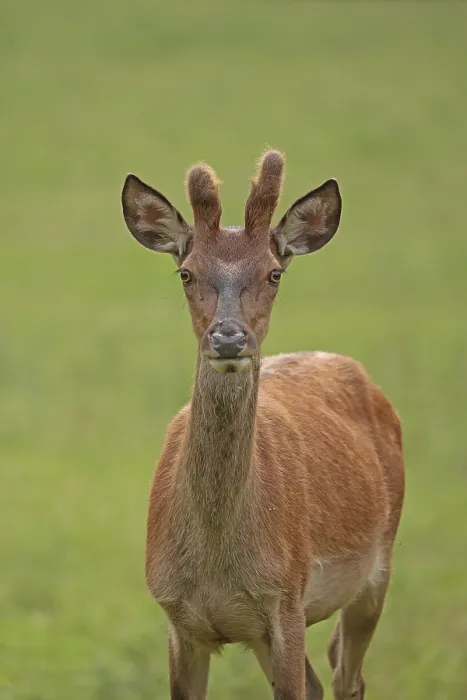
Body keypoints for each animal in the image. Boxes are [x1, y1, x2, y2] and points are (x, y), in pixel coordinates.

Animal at [121, 149, 405, 700]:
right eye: (185, 272)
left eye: (275, 273)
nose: (229, 337)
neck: (218, 567)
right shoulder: (177, 618)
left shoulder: (286, 599)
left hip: (378, 564)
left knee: (347, 675)